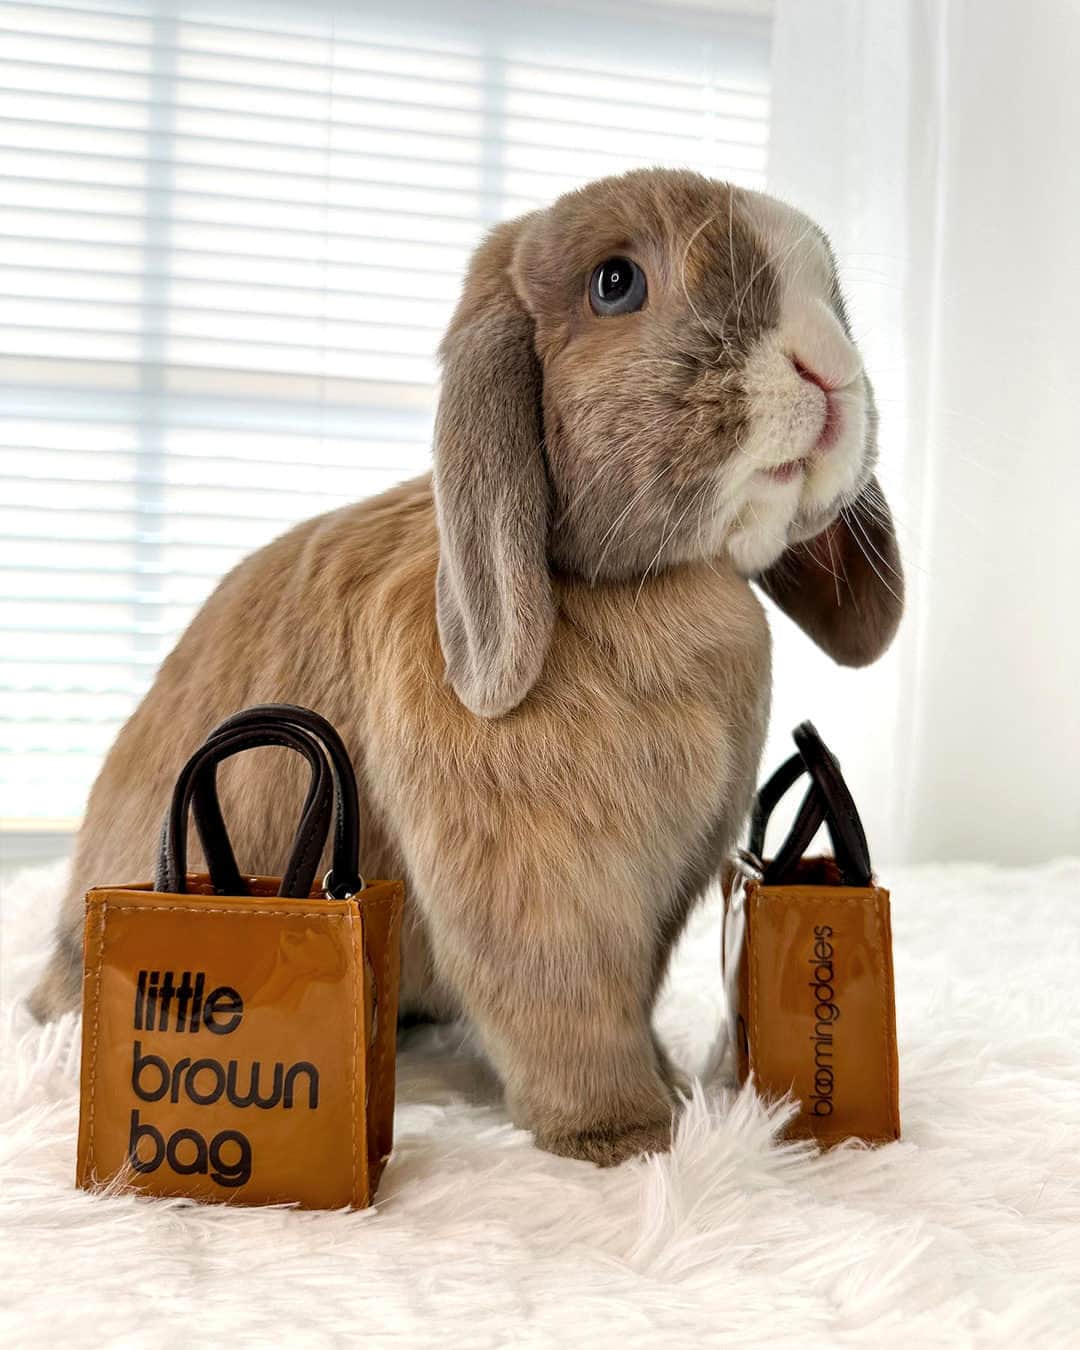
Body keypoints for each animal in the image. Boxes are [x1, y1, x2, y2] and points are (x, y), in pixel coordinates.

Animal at [29, 169, 903, 1166]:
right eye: (616, 284)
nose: (827, 365)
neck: (639, 585)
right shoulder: (540, 893)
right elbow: (563, 1007)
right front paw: (624, 1134)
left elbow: (633, 999)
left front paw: (676, 1083)